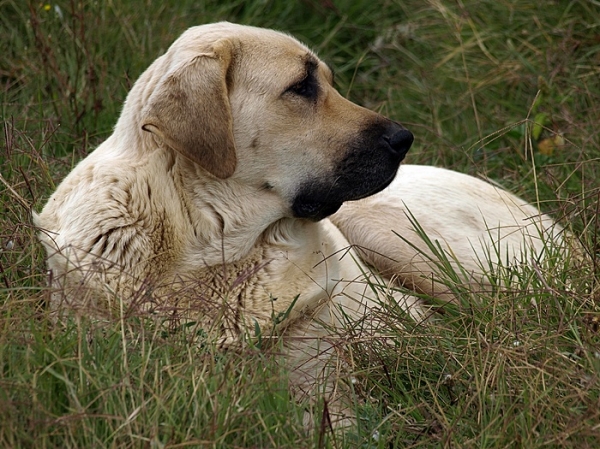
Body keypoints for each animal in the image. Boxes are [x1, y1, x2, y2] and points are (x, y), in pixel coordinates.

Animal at [35, 21, 564, 428]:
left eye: (326, 80)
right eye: (302, 86)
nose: (404, 138)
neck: (207, 248)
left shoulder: (322, 391)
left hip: (398, 236)